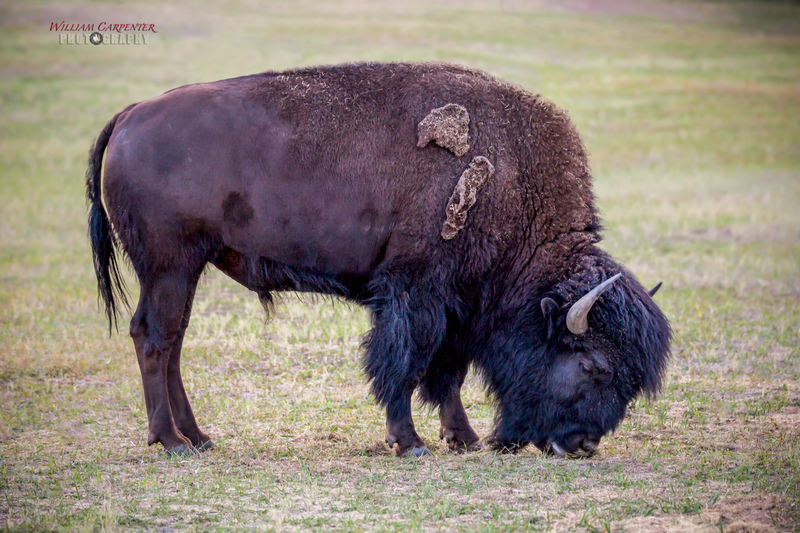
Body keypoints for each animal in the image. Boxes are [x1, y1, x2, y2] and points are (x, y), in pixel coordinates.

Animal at [87, 62, 671, 458]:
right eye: (593, 364)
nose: (583, 444)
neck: (512, 180)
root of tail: (129, 115)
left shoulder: (458, 306)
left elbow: (447, 372)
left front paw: (462, 437)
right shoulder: (416, 293)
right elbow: (405, 364)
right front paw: (409, 441)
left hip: (184, 270)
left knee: (173, 341)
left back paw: (199, 436)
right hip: (169, 267)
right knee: (154, 338)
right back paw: (169, 440)